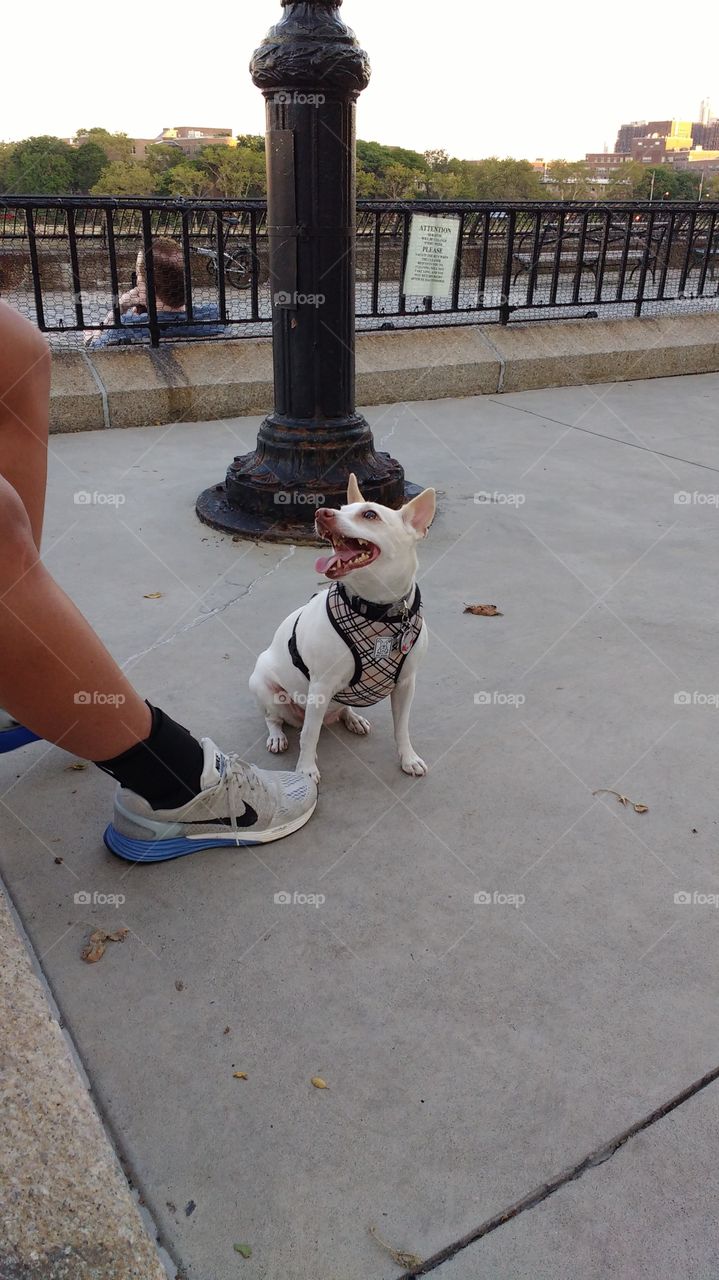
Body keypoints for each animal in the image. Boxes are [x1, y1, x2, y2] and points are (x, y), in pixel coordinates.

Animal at [249, 476, 434, 783]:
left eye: (370, 515)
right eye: (341, 508)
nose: (320, 513)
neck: (378, 609)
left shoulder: (406, 684)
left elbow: (402, 727)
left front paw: (408, 758)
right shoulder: (321, 687)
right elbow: (309, 735)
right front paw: (306, 770)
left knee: (340, 708)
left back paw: (352, 718)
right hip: (265, 687)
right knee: (273, 718)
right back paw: (277, 736)